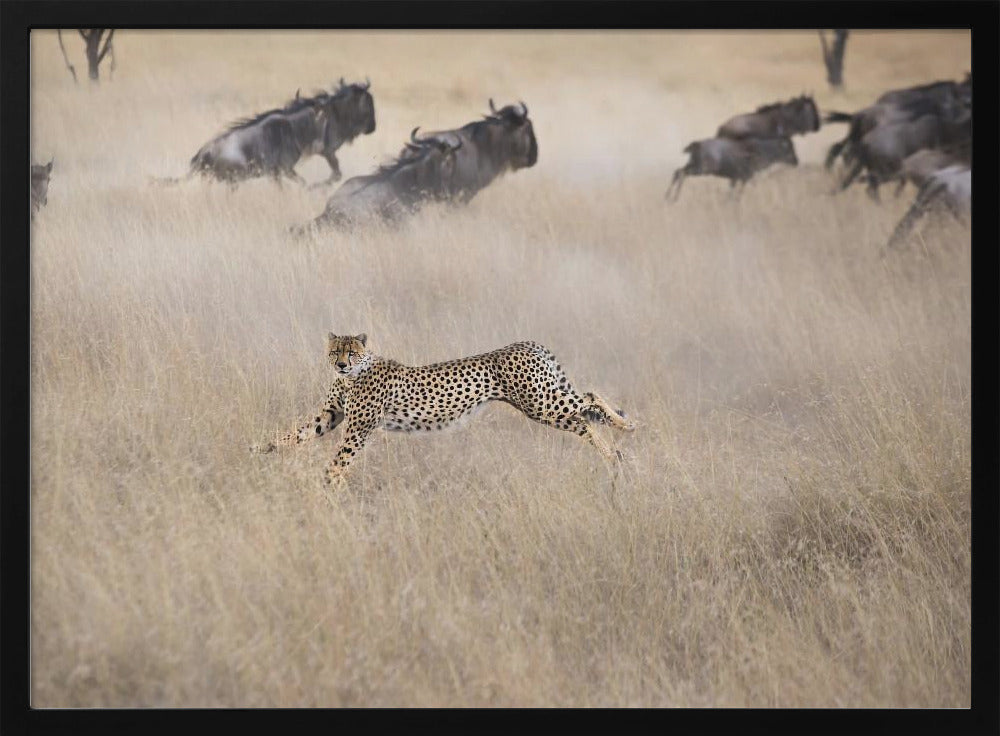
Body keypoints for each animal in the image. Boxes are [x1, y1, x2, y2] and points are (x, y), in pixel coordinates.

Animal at [251, 332, 636, 483]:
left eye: (352, 352)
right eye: (335, 351)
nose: (342, 365)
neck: (351, 377)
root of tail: (525, 343)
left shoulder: (357, 428)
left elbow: (340, 459)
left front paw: (327, 485)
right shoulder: (331, 415)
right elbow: (298, 432)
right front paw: (262, 447)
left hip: (541, 403)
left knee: (590, 399)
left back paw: (626, 428)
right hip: (545, 405)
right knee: (586, 419)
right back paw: (614, 453)